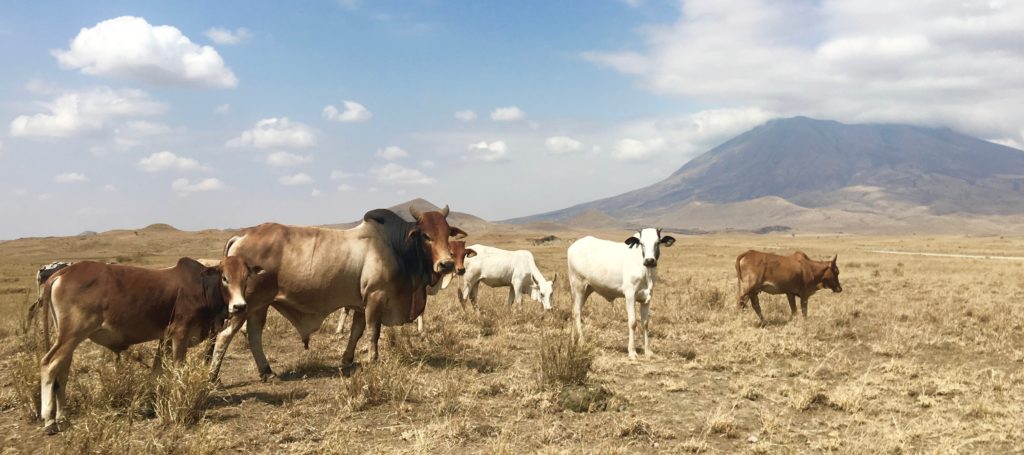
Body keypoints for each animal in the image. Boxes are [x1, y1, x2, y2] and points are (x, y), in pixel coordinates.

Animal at [35, 256, 256, 434]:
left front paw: (150, 402)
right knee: (48, 364)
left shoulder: (165, 339)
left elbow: (156, 372)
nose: (239, 306)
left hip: (68, 338)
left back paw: (62, 417)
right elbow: (178, 371)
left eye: (246, 278)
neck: (202, 287)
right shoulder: (180, 334)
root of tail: (64, 272)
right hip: (72, 335)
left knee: (62, 372)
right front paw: (179, 401)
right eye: (224, 278)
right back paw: (49, 420)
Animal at [209, 205, 466, 382]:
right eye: (426, 235)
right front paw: (372, 360)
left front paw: (347, 360)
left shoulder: (361, 304)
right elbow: (373, 332)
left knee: (253, 335)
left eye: (447, 234)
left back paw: (267, 372)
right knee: (225, 336)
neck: (396, 246)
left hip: (260, 305)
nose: (446, 264)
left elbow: (356, 332)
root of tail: (242, 235)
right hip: (244, 305)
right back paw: (214, 376)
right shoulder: (376, 297)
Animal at [567, 228, 676, 360]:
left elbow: (645, 323)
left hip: (587, 289)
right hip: (579, 286)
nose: (649, 261)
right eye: (641, 243)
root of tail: (574, 246)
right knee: (577, 312)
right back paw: (582, 341)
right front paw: (632, 351)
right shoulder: (630, 295)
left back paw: (573, 340)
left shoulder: (646, 298)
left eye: (657, 242)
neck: (646, 272)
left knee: (574, 311)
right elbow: (632, 322)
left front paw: (648, 351)